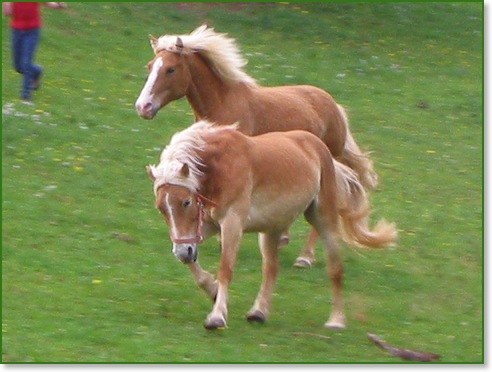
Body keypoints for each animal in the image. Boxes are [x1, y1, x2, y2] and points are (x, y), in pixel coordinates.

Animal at [136, 24, 378, 268]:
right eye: (149, 66)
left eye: (171, 69)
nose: (143, 107)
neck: (223, 104)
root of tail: (334, 105)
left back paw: (305, 257)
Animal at [145, 120, 396, 330]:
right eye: (161, 208)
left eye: (186, 202)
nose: (183, 251)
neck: (220, 167)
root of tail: (319, 148)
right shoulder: (208, 225)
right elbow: (195, 266)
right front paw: (213, 290)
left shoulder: (232, 223)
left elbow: (226, 269)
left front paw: (216, 317)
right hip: (271, 230)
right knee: (271, 269)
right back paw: (258, 312)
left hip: (324, 220)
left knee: (335, 269)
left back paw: (336, 321)